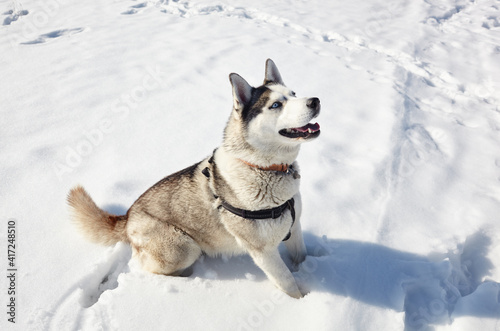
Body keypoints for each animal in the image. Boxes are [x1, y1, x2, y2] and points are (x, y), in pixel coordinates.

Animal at [68, 59, 320, 298]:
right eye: (276, 105)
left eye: (294, 94)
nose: (315, 101)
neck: (264, 168)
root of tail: (128, 217)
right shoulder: (263, 251)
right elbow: (288, 282)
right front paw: (301, 300)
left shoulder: (295, 227)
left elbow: (301, 256)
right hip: (183, 247)